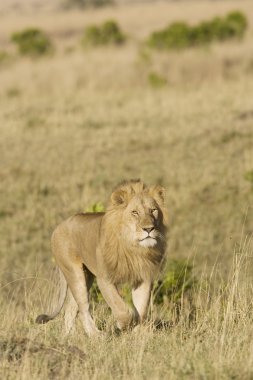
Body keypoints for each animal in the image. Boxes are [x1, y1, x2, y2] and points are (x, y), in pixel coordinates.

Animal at [36, 180, 168, 336]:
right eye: (135, 212)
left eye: (153, 210)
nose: (149, 229)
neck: (133, 247)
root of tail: (58, 226)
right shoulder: (105, 279)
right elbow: (120, 307)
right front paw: (124, 325)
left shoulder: (143, 278)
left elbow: (141, 309)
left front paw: (138, 333)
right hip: (74, 273)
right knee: (83, 308)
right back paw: (96, 336)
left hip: (86, 276)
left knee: (70, 309)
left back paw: (69, 336)